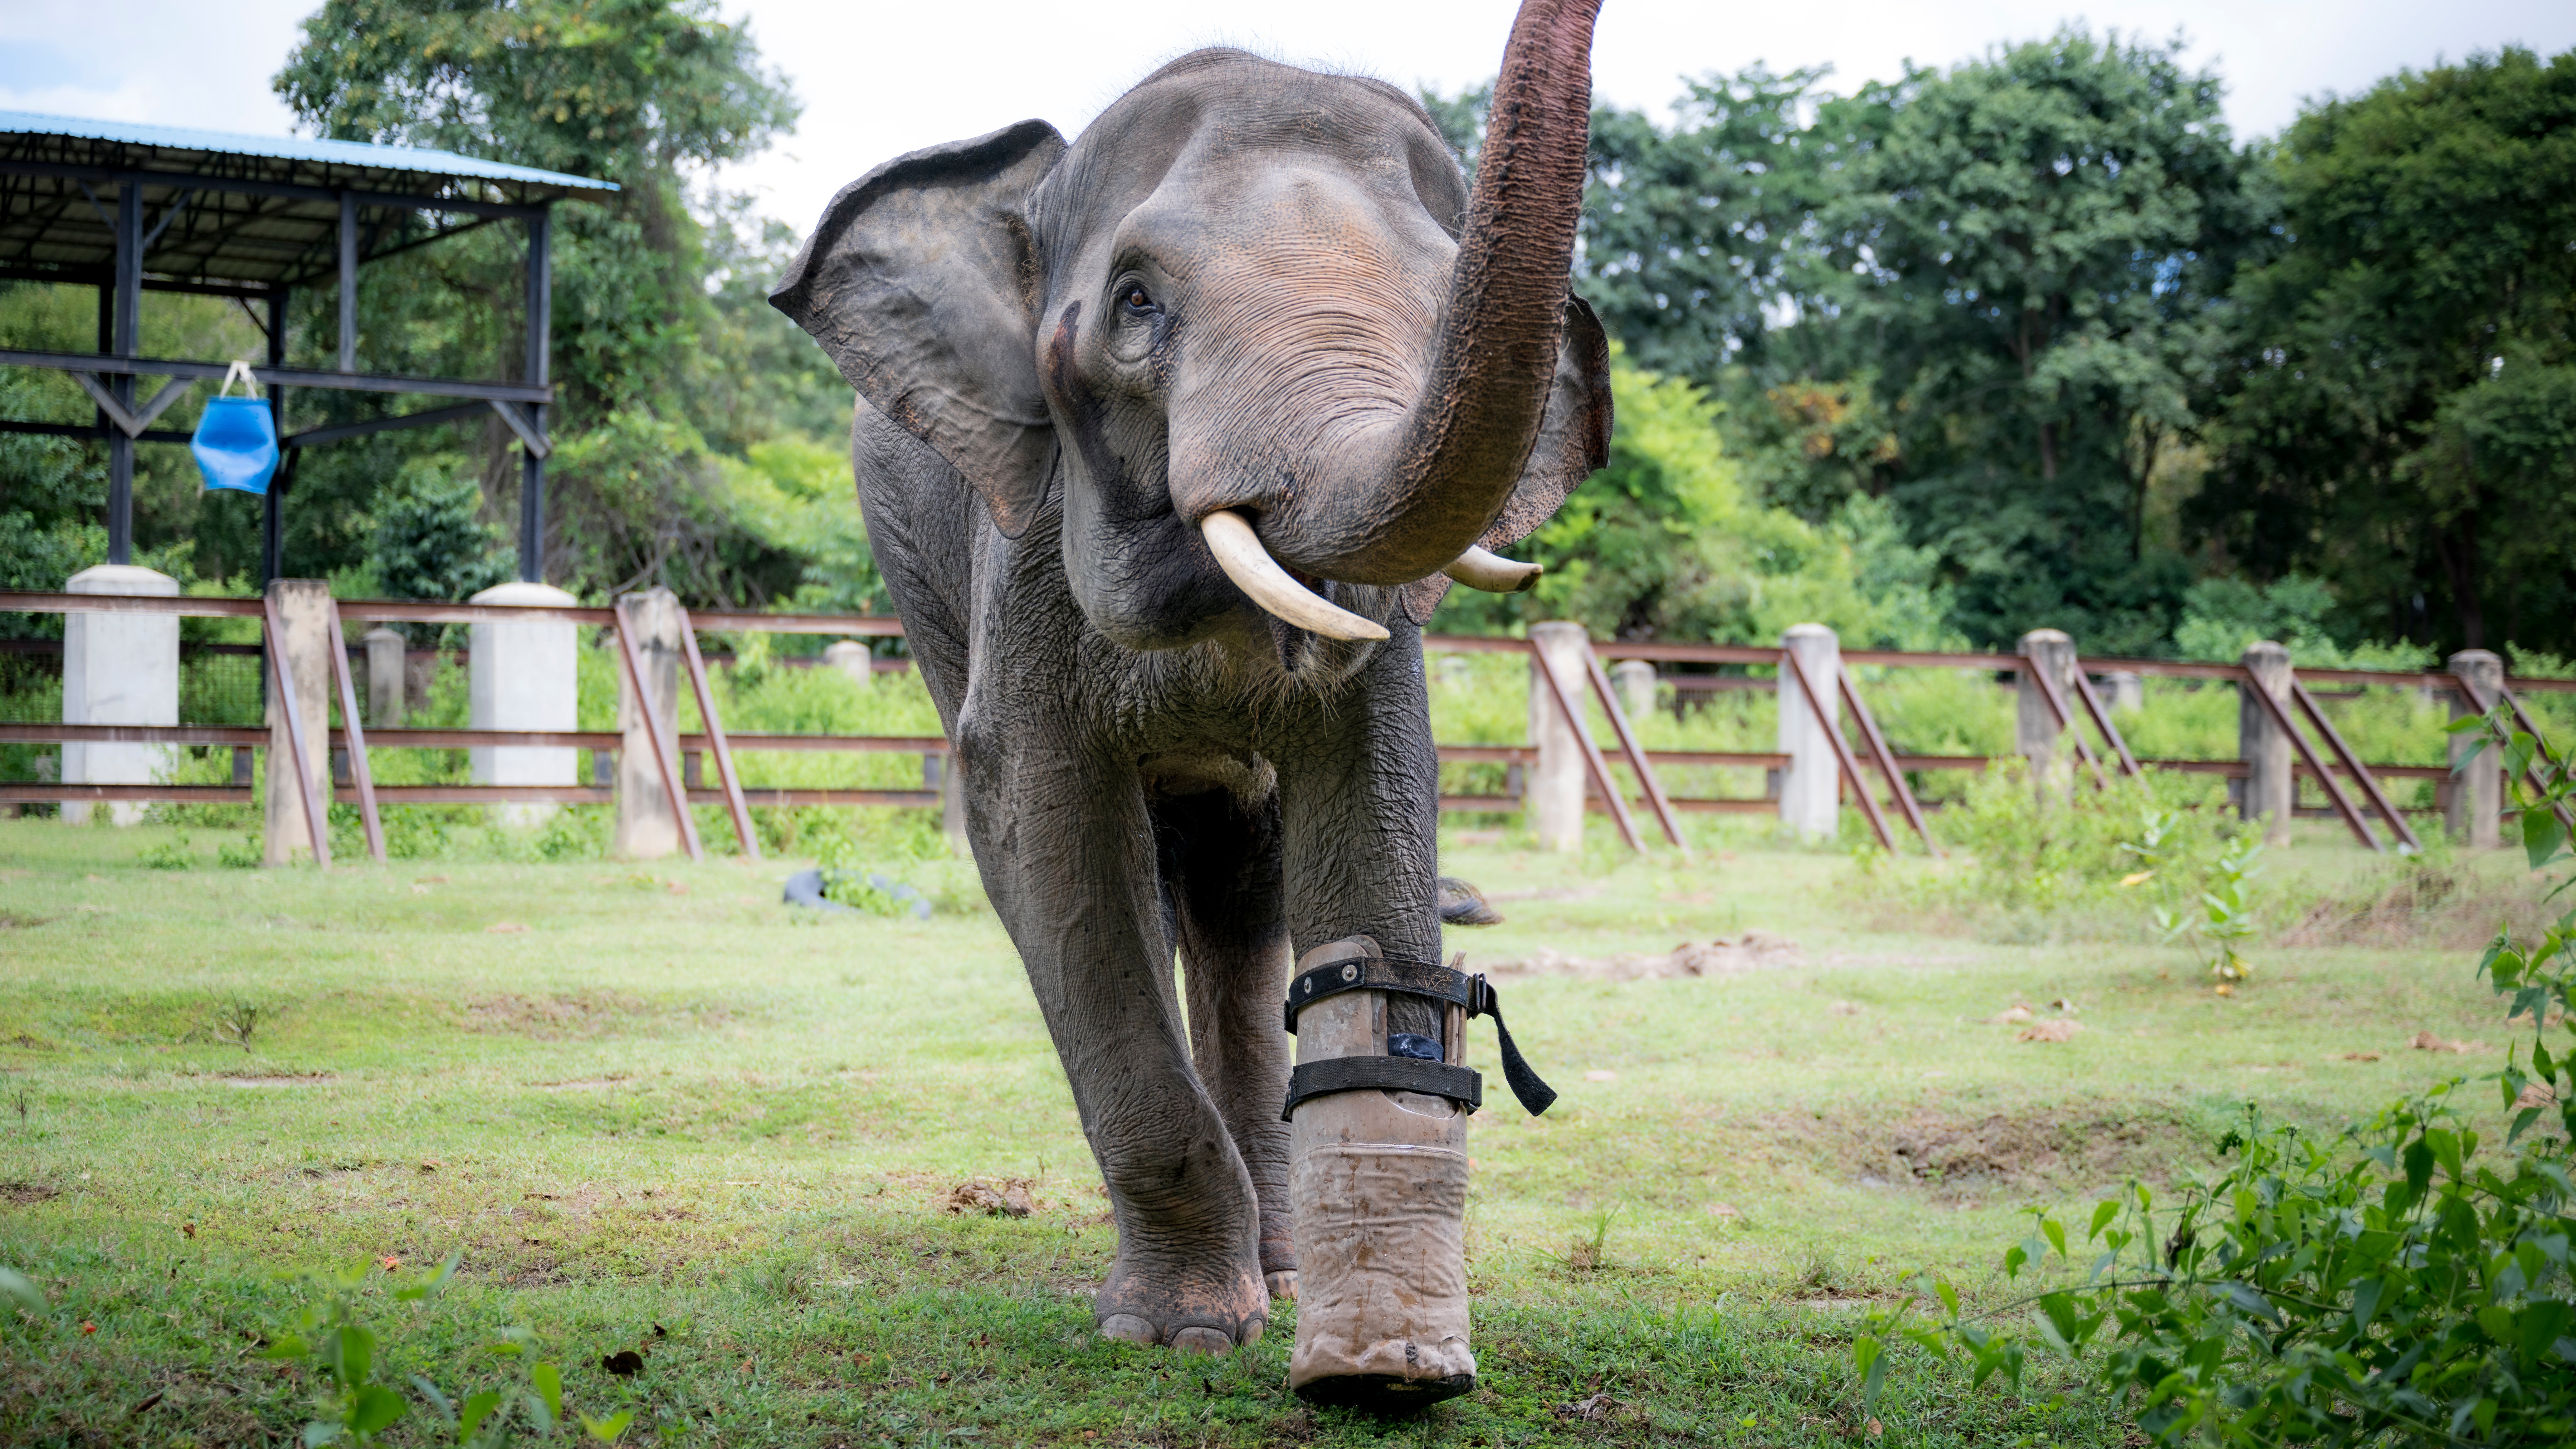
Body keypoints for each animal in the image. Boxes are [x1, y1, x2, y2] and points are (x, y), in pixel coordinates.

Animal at [771, 0, 1609, 1356]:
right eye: (1135, 303)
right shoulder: (1027, 552)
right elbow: (1044, 823)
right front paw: (1176, 1334)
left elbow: (1370, 805)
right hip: (914, 568)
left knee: (1238, 886)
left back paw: (1281, 1267)